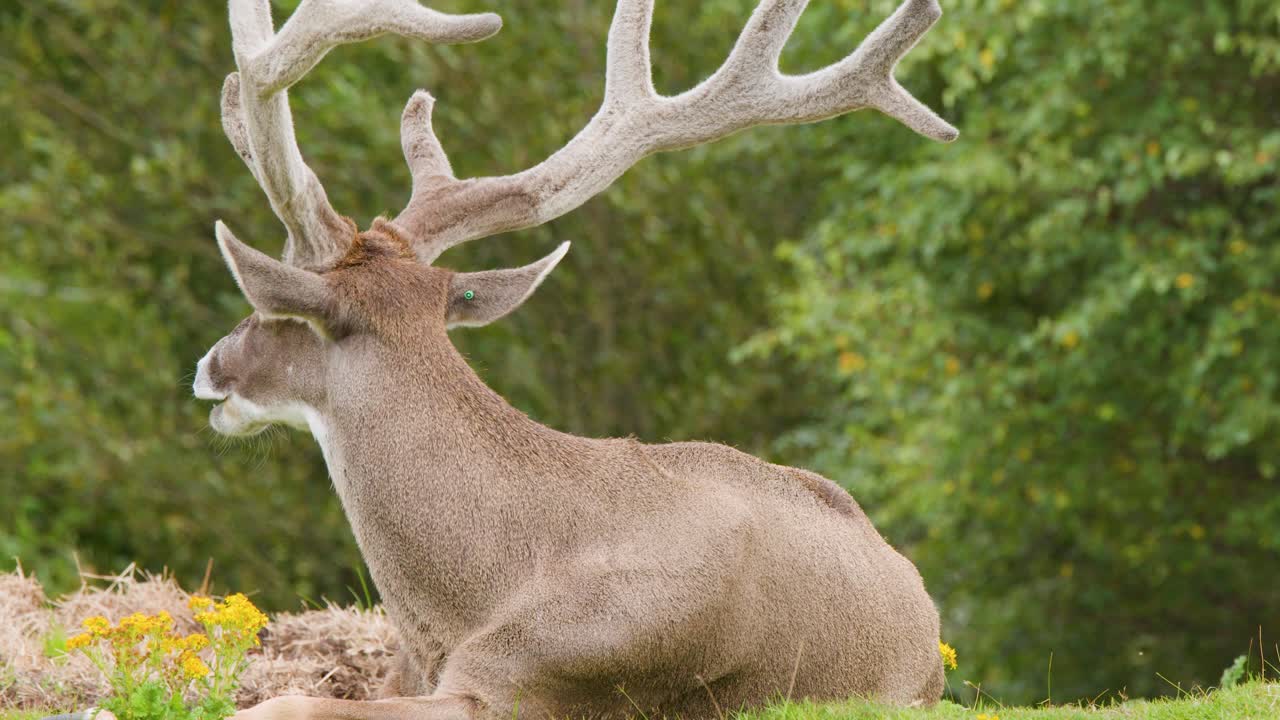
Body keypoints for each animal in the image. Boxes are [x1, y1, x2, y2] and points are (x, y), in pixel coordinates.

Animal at [189, 0, 960, 718]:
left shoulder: (525, 681)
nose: (209, 365)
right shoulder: (407, 668)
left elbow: (286, 702)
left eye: (275, 311)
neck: (482, 587)